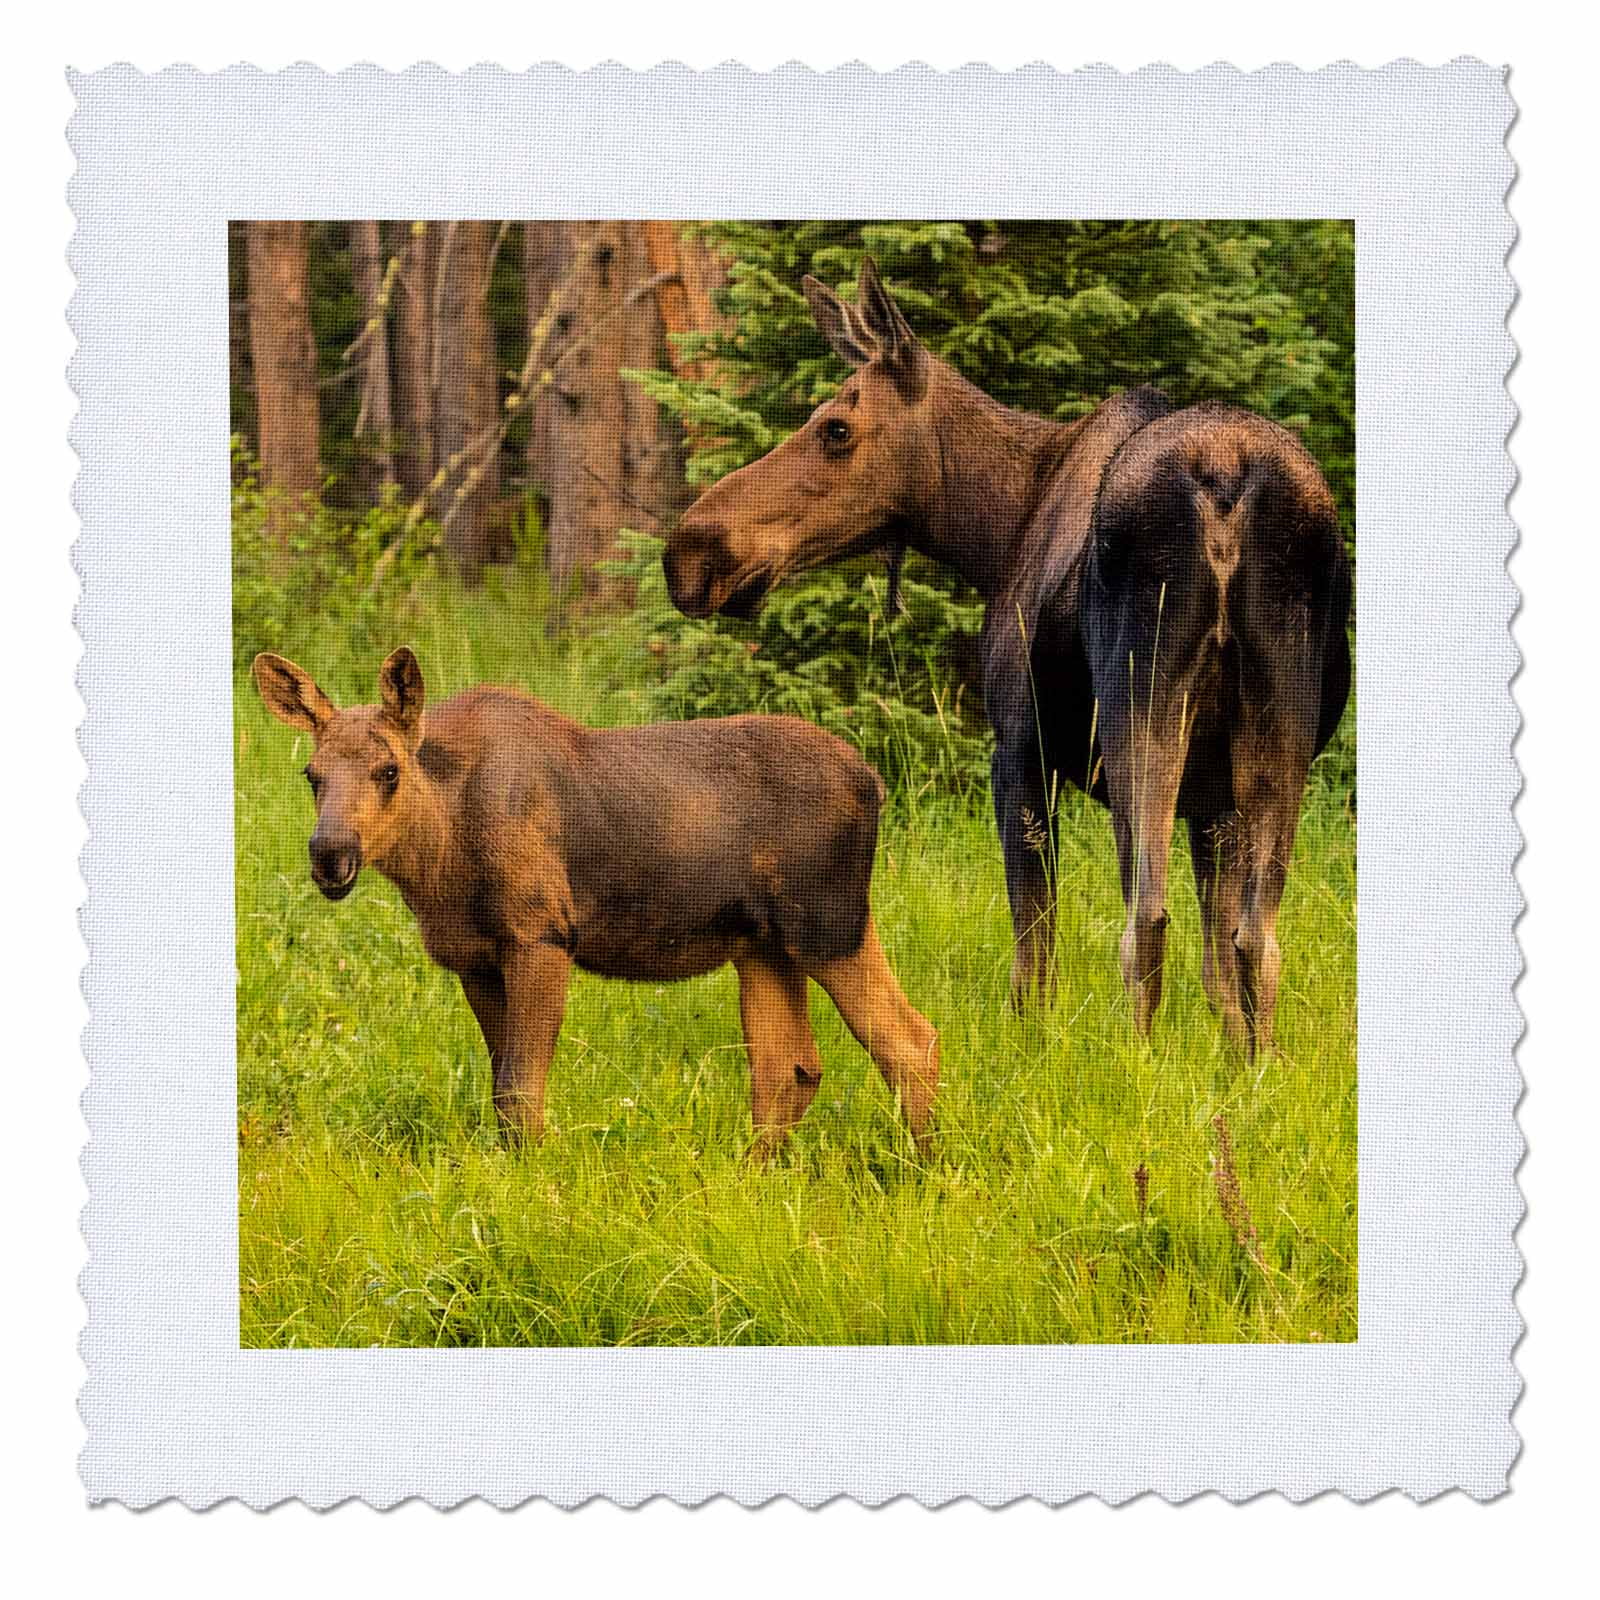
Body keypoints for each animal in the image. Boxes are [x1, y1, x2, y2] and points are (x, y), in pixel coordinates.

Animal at [252, 647, 939, 1154]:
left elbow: (520, 1090)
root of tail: (875, 783)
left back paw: (920, 1170)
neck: (437, 861)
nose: (330, 854)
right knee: (789, 1067)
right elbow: (501, 1088)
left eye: (389, 770)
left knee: (911, 1041)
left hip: (829, 924)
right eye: (312, 775)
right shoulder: (474, 959)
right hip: (764, 945)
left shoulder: (542, 934)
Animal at [662, 257, 1351, 1056]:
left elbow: (1033, 951)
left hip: (1139, 697)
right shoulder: (1211, 799)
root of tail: (1226, 481)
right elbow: (1218, 967)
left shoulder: (1018, 749)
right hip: (1278, 714)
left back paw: (1136, 1062)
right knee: (1256, 939)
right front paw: (1233, 1063)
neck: (994, 532)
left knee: (1145, 919)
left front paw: (1033, 1052)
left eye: (835, 428)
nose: (690, 553)